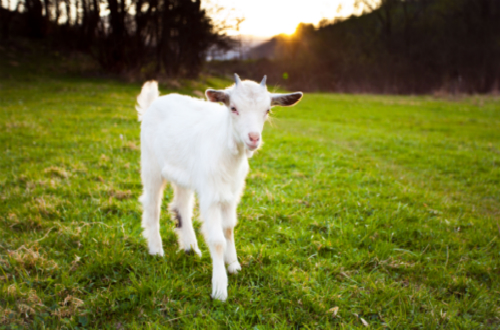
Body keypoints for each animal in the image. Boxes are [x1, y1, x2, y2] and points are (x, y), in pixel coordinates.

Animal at [135, 75, 302, 302]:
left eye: (267, 110)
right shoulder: (210, 196)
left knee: (181, 206)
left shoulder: (231, 194)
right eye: (233, 108)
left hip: (183, 175)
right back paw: (156, 250)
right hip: (151, 164)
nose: (253, 138)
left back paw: (190, 249)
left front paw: (233, 265)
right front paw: (220, 288)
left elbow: (229, 229)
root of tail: (154, 102)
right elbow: (217, 240)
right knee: (151, 205)